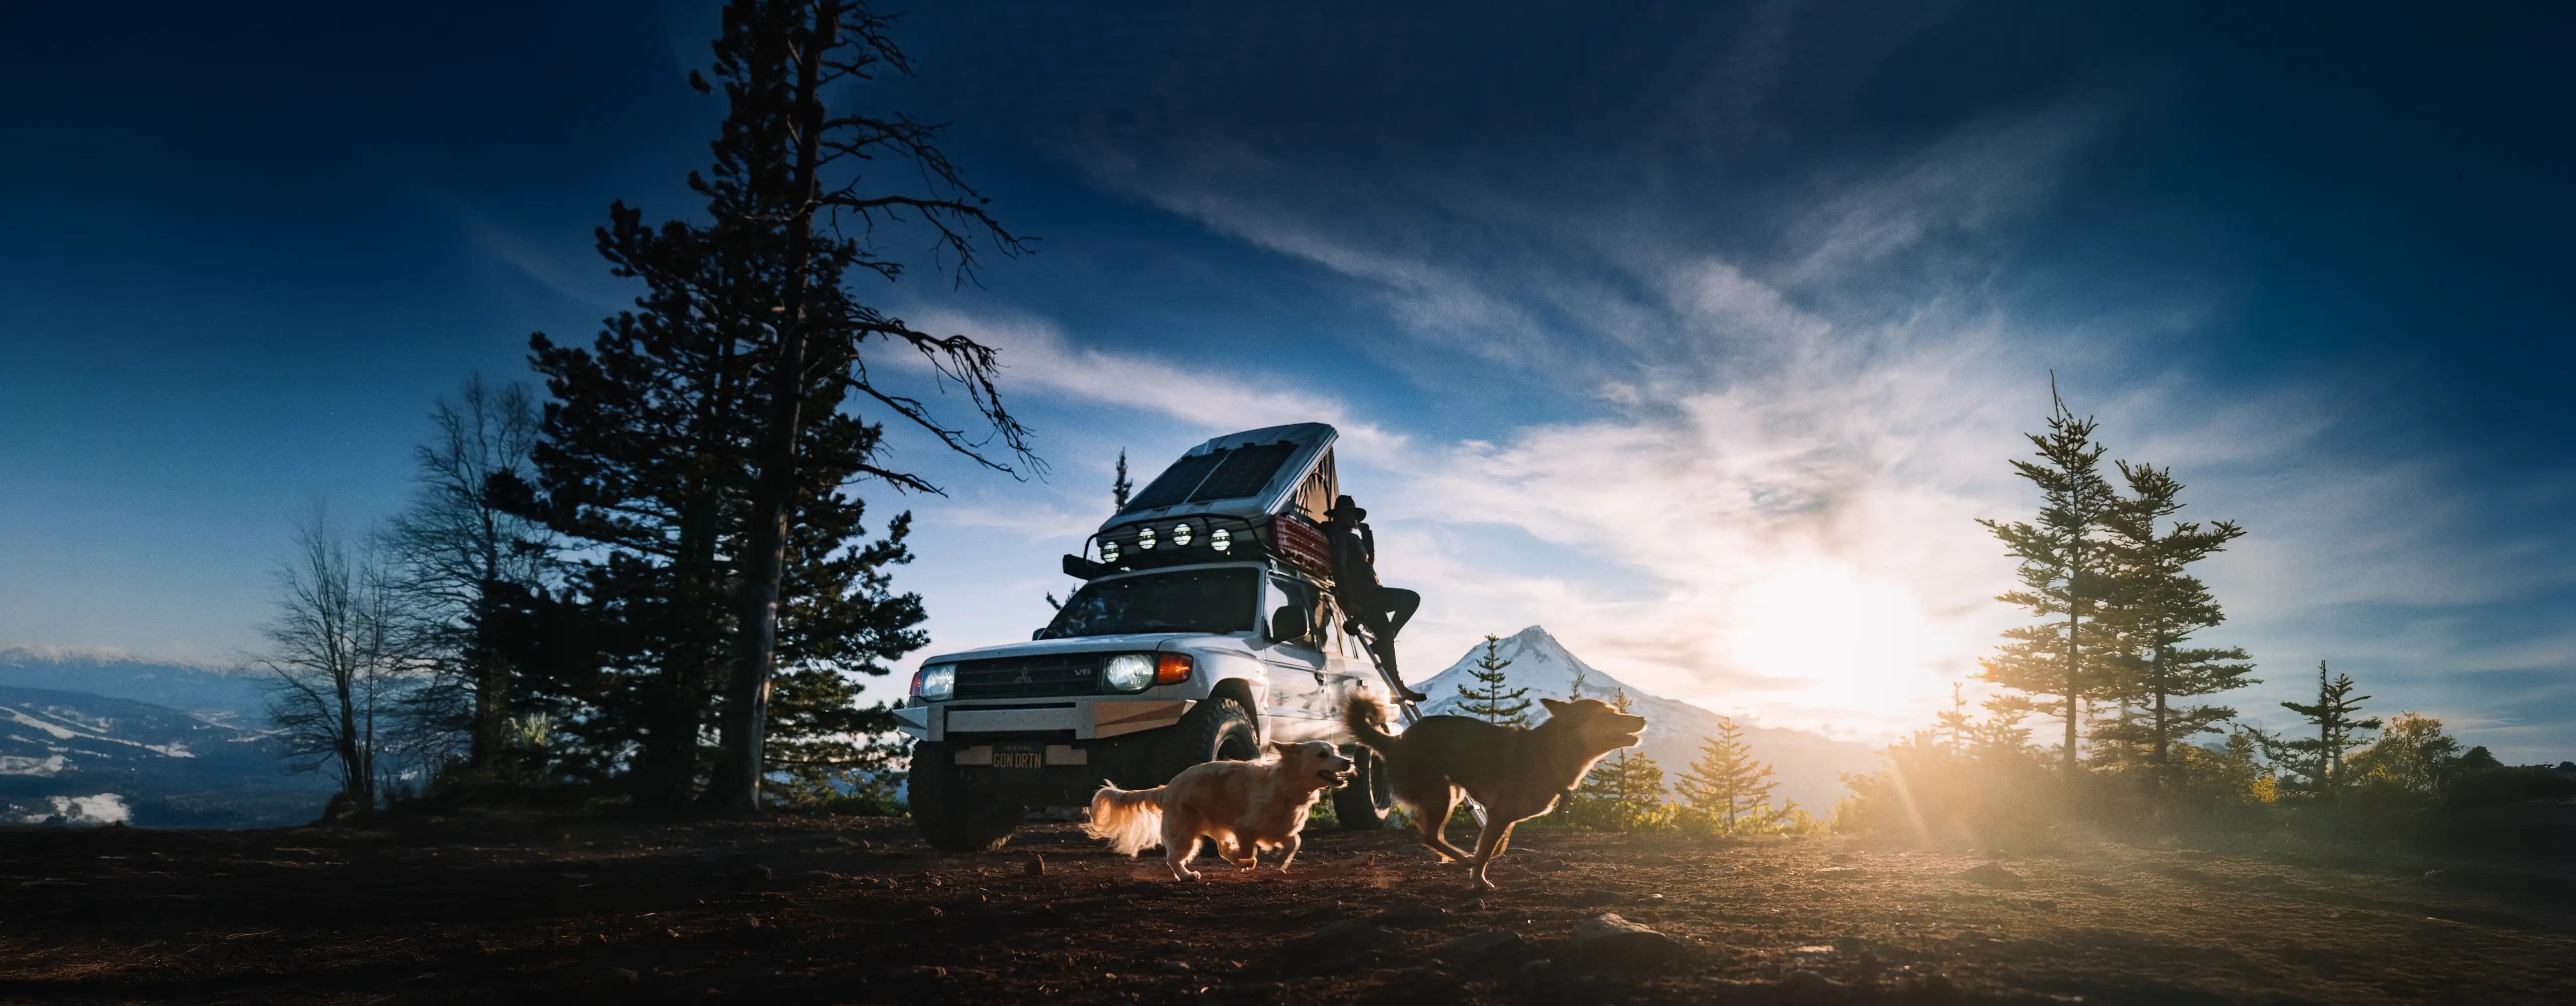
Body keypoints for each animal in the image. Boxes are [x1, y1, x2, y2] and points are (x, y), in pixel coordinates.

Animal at [1082, 741, 1360, 885]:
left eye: (1336, 751)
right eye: (1322, 755)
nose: (1349, 761)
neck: (1286, 789)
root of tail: (1167, 788)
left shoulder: (1283, 830)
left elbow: (1295, 842)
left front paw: (1280, 862)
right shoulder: (1243, 828)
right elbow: (1249, 849)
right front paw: (1248, 861)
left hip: (1213, 828)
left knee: (1220, 849)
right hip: (1185, 835)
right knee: (1174, 858)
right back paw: (1186, 875)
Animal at [1349, 695, 1648, 890]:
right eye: (1609, 715)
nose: (1643, 718)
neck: (1550, 753)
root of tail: (1395, 742)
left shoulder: (1502, 818)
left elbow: (1494, 848)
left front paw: (1482, 865)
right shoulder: (1499, 814)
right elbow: (1485, 852)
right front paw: (1479, 881)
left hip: (1452, 793)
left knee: (1429, 834)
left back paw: (1454, 856)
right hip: (1442, 796)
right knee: (1430, 835)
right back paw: (1461, 858)